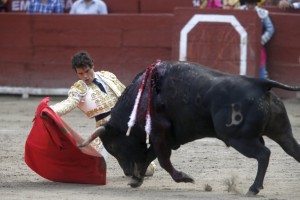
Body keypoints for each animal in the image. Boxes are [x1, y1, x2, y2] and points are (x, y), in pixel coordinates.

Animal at [78, 61, 298, 195]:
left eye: (113, 147)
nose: (127, 172)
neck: (142, 97)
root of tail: (259, 83)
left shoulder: (159, 134)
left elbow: (163, 160)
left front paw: (184, 178)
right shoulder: (160, 138)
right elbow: (148, 157)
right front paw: (137, 180)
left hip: (239, 139)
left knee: (264, 154)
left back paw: (253, 188)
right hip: (281, 131)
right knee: (293, 149)